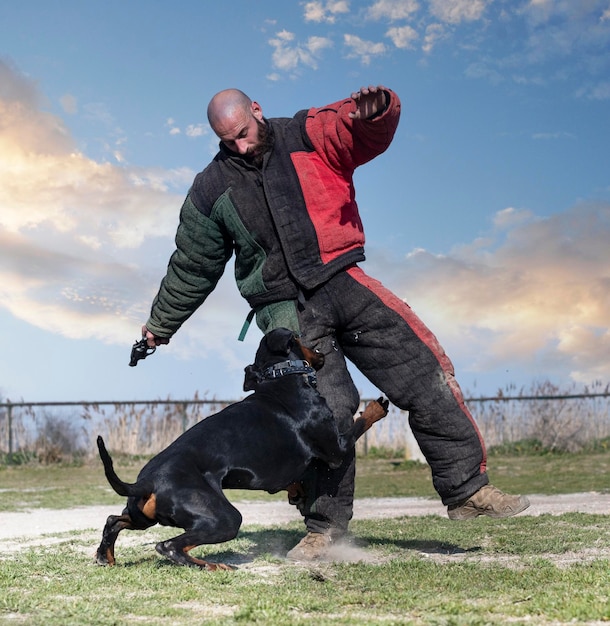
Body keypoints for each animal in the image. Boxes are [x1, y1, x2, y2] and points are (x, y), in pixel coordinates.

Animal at [97, 330, 388, 568]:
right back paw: (213, 565)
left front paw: (297, 491)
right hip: (224, 518)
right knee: (168, 546)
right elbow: (359, 424)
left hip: (143, 516)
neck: (281, 377)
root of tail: (148, 482)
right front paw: (377, 406)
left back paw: (105, 557)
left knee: (114, 520)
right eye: (298, 337)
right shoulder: (335, 449)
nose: (321, 349)